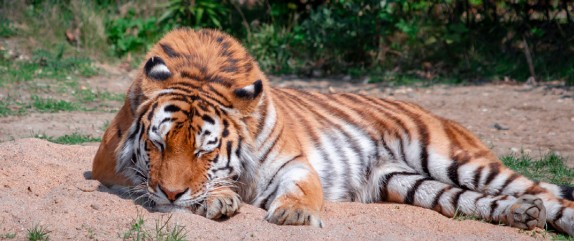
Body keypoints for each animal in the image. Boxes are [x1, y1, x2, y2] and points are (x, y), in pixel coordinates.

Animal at [90, 28, 574, 235]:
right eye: (157, 144)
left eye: (204, 152)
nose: (171, 195)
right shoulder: (107, 163)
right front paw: (220, 199)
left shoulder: (295, 162)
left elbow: (302, 190)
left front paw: (293, 214)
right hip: (411, 183)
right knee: (475, 202)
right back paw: (522, 215)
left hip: (459, 160)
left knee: (545, 192)